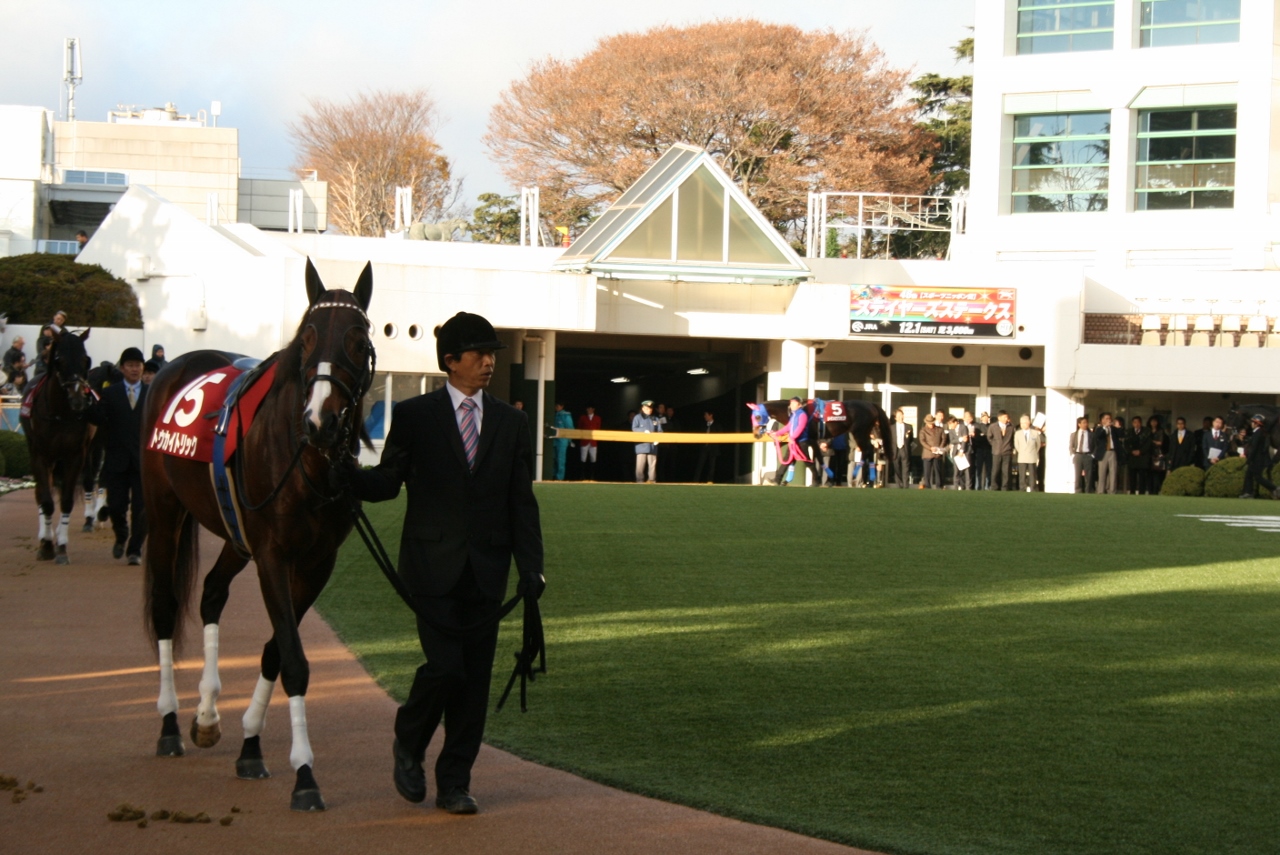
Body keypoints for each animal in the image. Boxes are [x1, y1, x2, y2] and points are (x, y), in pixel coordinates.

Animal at [19, 330, 93, 563]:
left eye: (85, 360)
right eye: (60, 361)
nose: (78, 400)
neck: (61, 412)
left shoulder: (76, 455)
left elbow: (67, 500)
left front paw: (61, 547)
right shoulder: (40, 455)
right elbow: (46, 500)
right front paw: (47, 546)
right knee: (41, 494)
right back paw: (44, 536)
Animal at [145, 258, 376, 808]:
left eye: (358, 338)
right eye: (307, 336)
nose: (322, 421)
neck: (307, 461)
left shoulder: (317, 562)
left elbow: (277, 648)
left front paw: (251, 742)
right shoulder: (273, 553)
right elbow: (292, 657)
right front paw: (305, 773)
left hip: (235, 534)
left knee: (211, 592)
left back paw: (208, 712)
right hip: (163, 512)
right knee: (165, 606)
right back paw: (169, 723)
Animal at [747, 396, 890, 483]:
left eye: (757, 417)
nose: (756, 434)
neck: (798, 411)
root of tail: (871, 404)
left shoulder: (804, 440)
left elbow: (806, 460)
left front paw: (816, 480)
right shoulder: (809, 440)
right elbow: (795, 458)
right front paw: (777, 479)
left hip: (859, 432)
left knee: (866, 450)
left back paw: (857, 474)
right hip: (865, 432)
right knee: (870, 449)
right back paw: (871, 479)